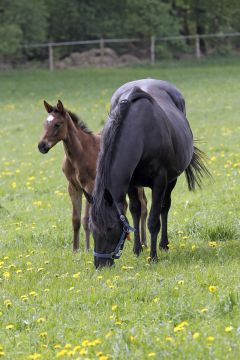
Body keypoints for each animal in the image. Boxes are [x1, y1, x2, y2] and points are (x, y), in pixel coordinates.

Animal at [37, 101, 147, 252]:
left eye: (57, 124)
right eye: (44, 123)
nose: (41, 146)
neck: (80, 153)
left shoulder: (90, 185)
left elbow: (86, 219)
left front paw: (88, 249)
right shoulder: (73, 187)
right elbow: (76, 219)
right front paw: (75, 250)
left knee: (143, 206)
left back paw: (144, 243)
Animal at [90, 78, 210, 268]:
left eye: (110, 228)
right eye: (91, 228)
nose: (100, 265)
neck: (141, 133)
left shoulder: (160, 181)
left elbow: (153, 220)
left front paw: (153, 257)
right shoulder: (130, 183)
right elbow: (135, 211)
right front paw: (137, 249)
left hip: (171, 180)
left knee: (165, 207)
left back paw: (163, 245)